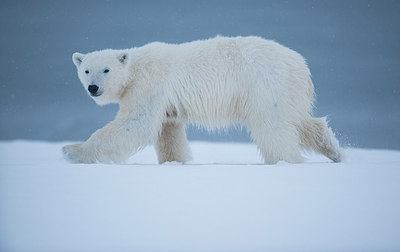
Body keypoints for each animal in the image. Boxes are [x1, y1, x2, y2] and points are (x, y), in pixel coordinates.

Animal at [64, 36, 342, 164]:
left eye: (106, 69)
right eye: (86, 70)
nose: (93, 88)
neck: (135, 68)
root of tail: (300, 65)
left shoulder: (150, 84)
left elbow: (136, 123)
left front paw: (72, 151)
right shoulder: (166, 103)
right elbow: (168, 132)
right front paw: (176, 162)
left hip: (265, 85)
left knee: (273, 126)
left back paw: (286, 160)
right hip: (287, 92)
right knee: (301, 121)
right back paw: (334, 150)